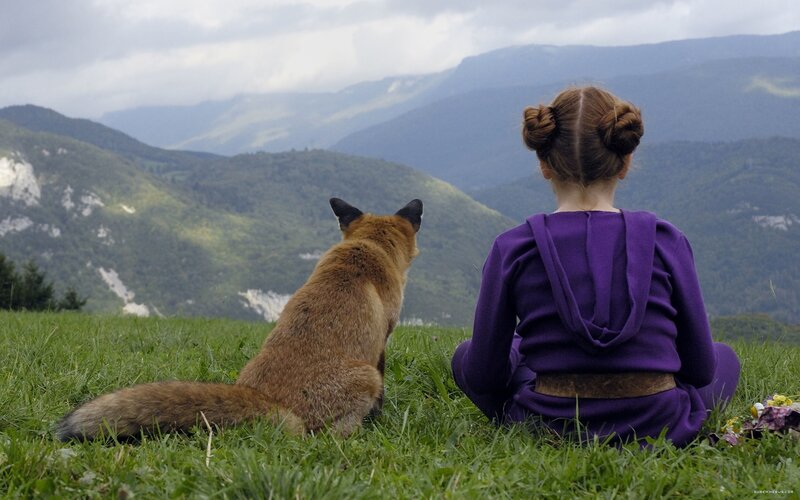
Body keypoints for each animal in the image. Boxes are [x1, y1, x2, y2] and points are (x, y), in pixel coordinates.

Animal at [56, 197, 423, 441]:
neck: (365, 248)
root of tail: (271, 402)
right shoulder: (382, 344)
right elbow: (383, 388)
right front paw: (380, 418)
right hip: (363, 379)